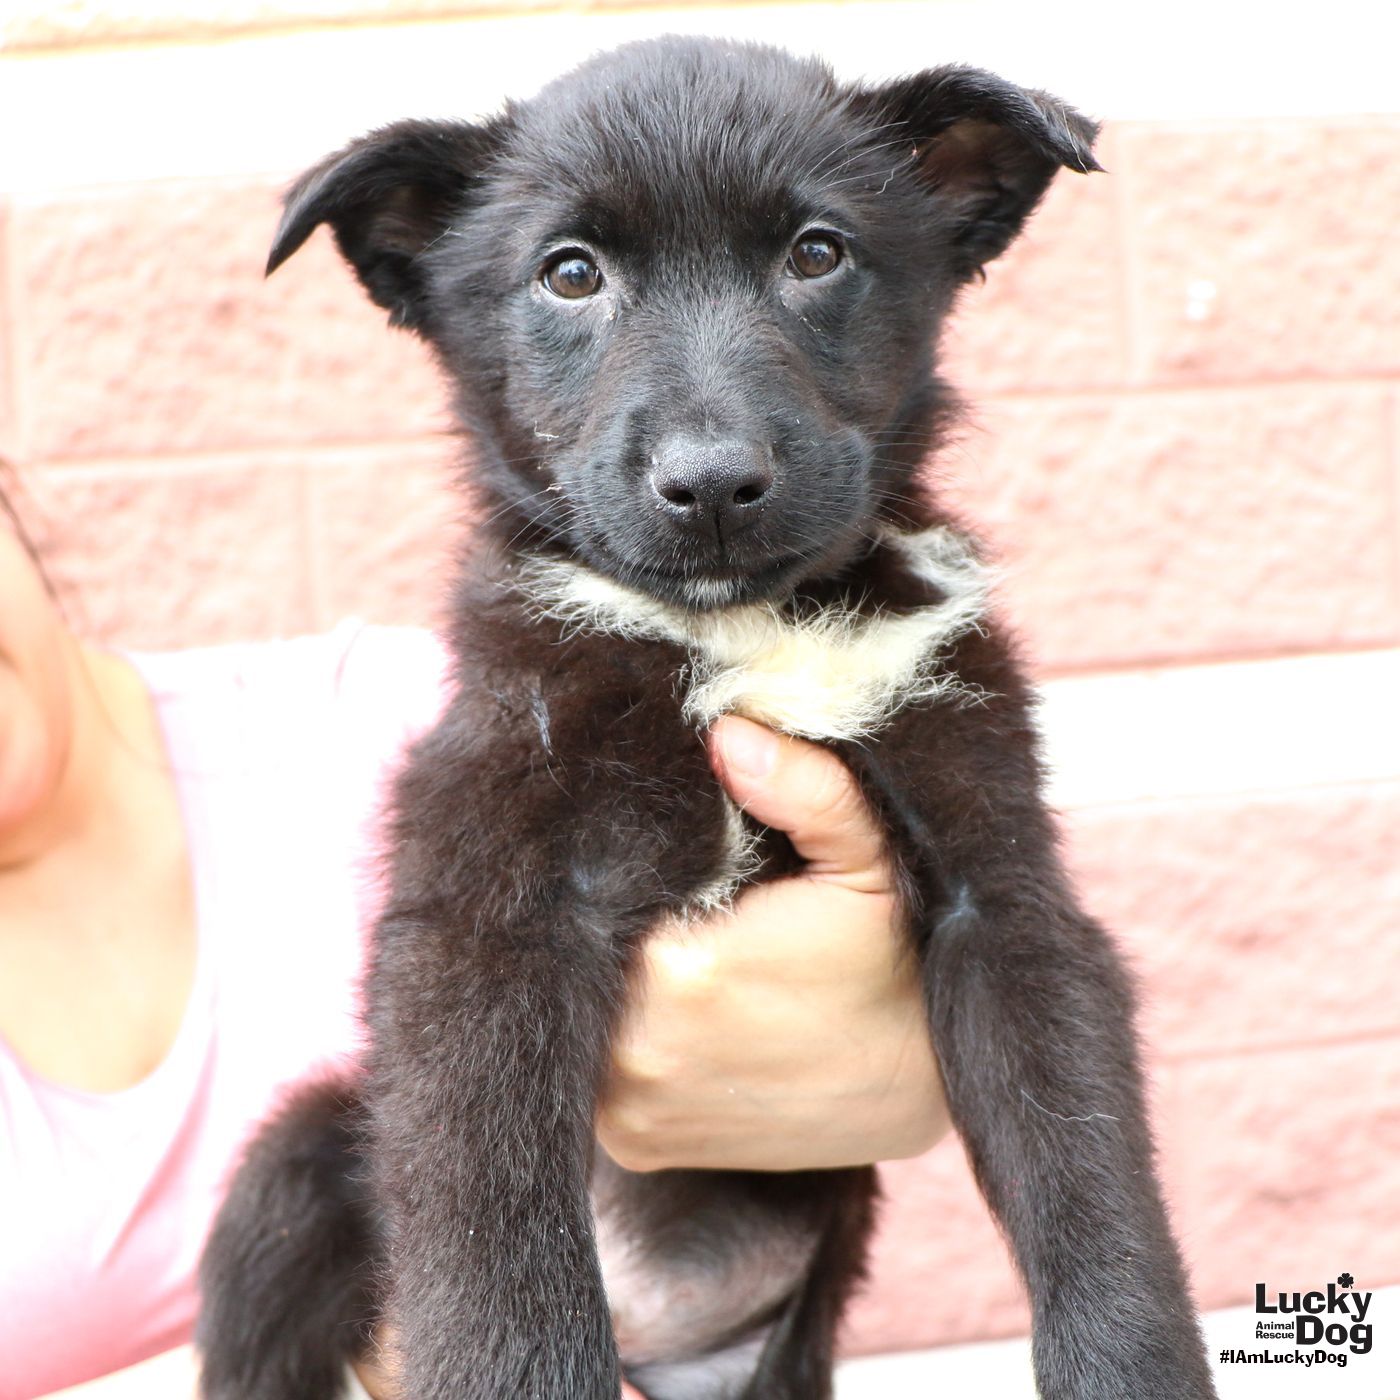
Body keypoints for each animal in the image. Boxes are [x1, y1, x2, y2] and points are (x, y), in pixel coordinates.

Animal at [194, 32, 1215, 1400]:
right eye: (569, 273)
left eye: (816, 253)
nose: (714, 481)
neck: (738, 632)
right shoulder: (484, 905)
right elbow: (495, 1246)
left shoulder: (996, 879)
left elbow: (1088, 1176)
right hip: (294, 1163)